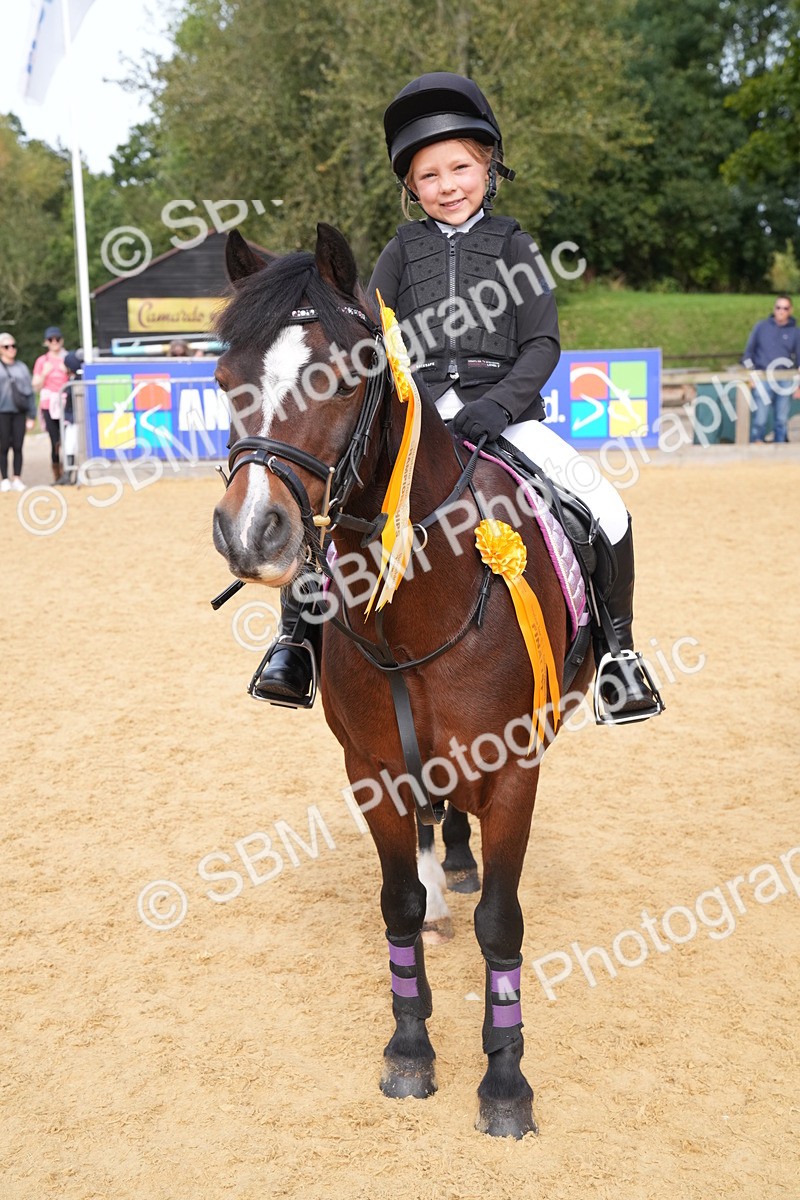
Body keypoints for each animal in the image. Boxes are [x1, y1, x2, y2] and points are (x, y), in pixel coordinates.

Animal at [210, 223, 594, 1138]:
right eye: (224, 379)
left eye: (344, 376)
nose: (250, 533)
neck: (422, 602)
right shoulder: (373, 771)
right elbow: (400, 908)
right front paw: (412, 1049)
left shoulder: (515, 769)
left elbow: (502, 921)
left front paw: (504, 1081)